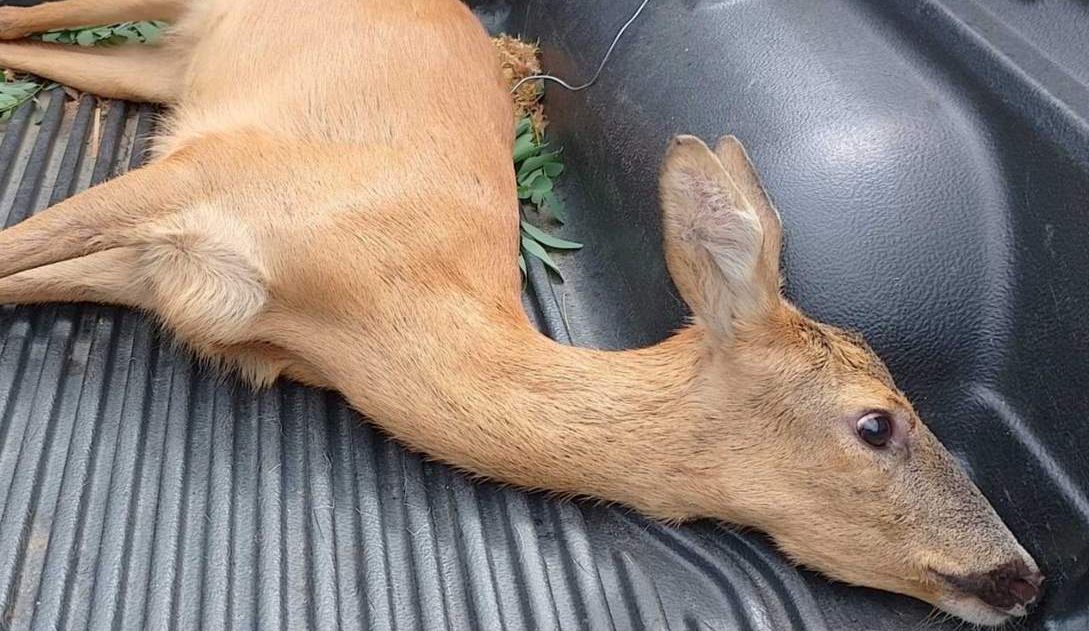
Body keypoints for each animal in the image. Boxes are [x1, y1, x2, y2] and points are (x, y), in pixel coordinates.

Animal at [0, 0, 1044, 625]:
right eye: (877, 423)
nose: (1022, 575)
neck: (371, 308)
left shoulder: (158, 272)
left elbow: (22, 275)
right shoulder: (217, 169)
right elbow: (17, 246)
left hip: (165, 67)